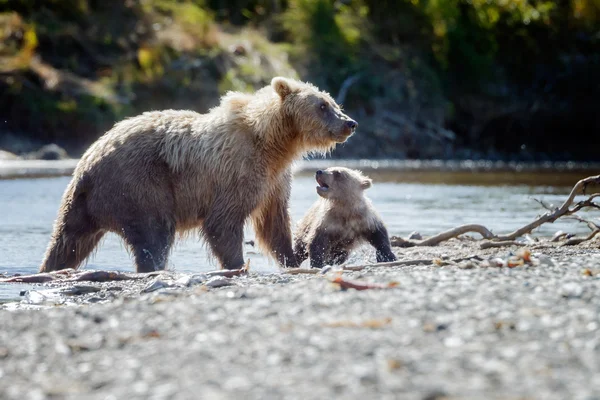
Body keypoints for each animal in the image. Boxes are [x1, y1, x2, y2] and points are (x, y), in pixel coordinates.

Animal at [41, 77, 356, 274]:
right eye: (323, 105)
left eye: (334, 103)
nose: (350, 122)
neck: (272, 143)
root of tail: (88, 160)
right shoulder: (235, 172)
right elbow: (224, 222)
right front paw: (237, 264)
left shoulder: (274, 181)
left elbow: (273, 223)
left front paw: (290, 258)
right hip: (139, 184)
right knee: (154, 233)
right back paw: (154, 267)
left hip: (83, 203)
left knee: (68, 242)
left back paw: (51, 267)